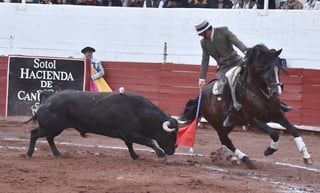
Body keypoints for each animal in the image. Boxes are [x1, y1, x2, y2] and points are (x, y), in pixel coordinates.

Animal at [24, 89, 180, 159]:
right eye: (170, 135)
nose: (172, 151)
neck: (139, 111)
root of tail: (50, 97)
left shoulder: (127, 135)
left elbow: (130, 145)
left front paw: (135, 156)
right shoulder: (131, 133)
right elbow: (149, 141)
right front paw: (161, 155)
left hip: (54, 128)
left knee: (49, 138)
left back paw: (57, 154)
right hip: (50, 127)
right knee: (34, 134)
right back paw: (29, 153)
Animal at [180, 43, 312, 169]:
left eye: (278, 69)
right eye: (264, 69)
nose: (276, 92)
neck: (260, 93)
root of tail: (201, 94)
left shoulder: (278, 114)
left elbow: (294, 130)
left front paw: (306, 156)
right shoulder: (254, 119)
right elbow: (274, 133)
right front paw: (269, 150)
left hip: (228, 124)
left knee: (224, 139)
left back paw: (232, 158)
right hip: (216, 122)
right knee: (225, 139)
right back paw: (246, 160)